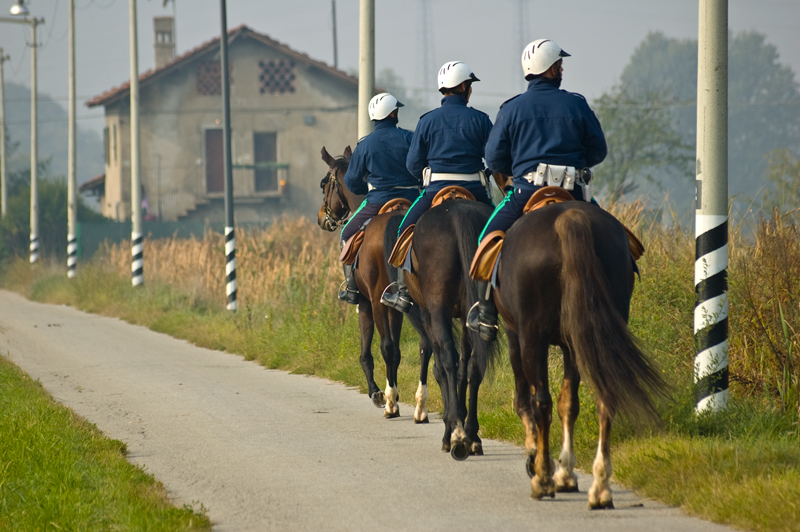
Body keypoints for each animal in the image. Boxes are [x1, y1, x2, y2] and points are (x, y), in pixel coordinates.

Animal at [318, 146, 433, 423]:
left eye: (324, 184)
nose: (321, 218)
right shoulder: (394, 307)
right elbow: (398, 353)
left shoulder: (365, 303)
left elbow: (367, 353)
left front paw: (378, 393)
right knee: (425, 345)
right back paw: (420, 405)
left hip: (377, 301)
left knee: (387, 347)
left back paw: (390, 404)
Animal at [385, 198, 501, 460]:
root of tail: (458, 213)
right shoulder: (466, 317)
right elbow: (464, 367)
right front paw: (467, 428)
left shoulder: (429, 315)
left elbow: (440, 367)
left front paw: (450, 428)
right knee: (474, 364)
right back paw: (472, 435)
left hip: (436, 310)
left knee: (447, 357)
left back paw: (456, 435)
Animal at [493, 200, 668, 508]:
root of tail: (570, 217)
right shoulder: (572, 345)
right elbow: (569, 404)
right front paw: (566, 473)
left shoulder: (516, 336)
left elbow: (527, 401)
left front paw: (541, 463)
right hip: (598, 332)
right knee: (605, 397)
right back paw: (600, 486)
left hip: (533, 339)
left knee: (542, 403)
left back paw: (542, 479)